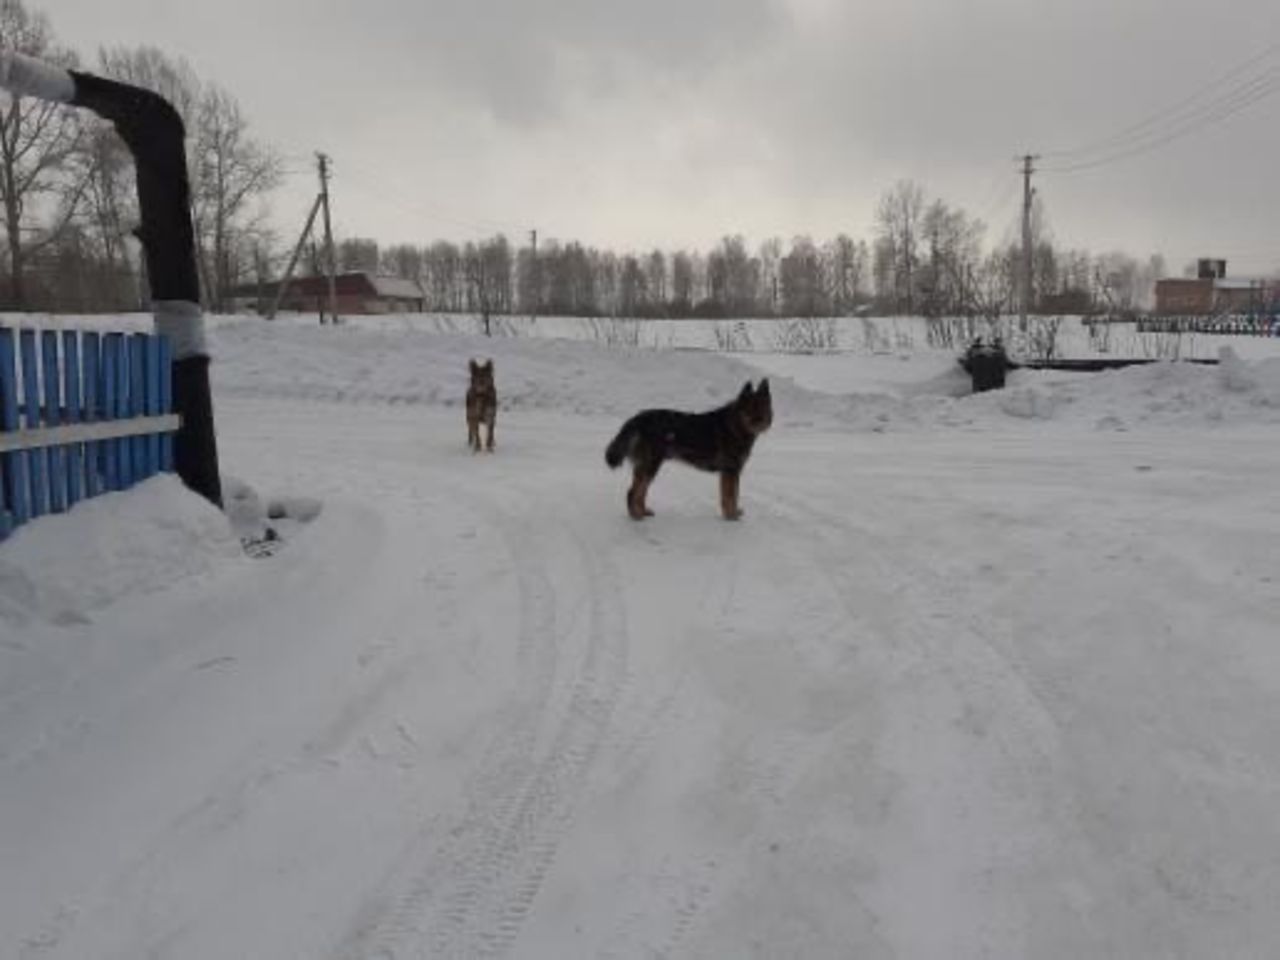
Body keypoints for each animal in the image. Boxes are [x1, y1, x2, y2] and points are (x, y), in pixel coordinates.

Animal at [601, 378, 768, 522]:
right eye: (750, 409)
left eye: (762, 407)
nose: (760, 422)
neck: (735, 425)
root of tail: (637, 419)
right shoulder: (730, 471)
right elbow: (730, 496)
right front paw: (731, 516)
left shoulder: (733, 472)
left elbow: (735, 494)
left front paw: (734, 513)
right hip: (650, 466)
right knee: (633, 492)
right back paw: (636, 516)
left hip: (649, 467)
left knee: (640, 491)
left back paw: (642, 511)